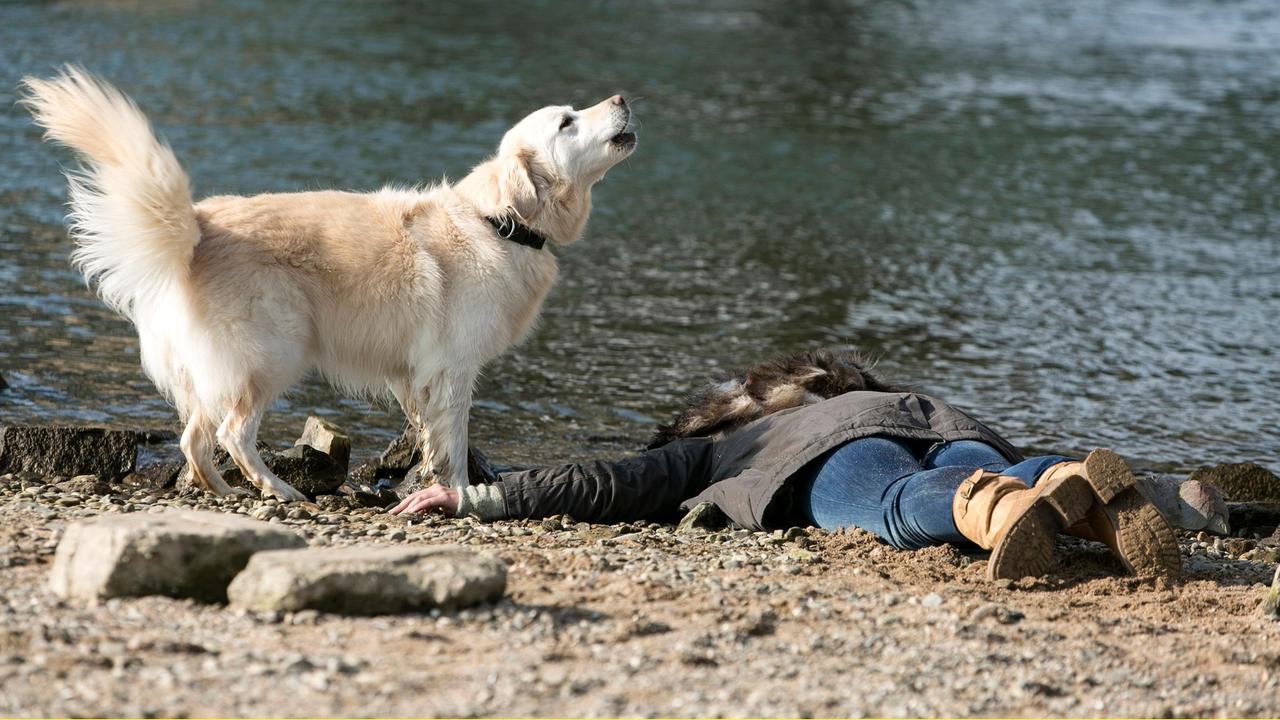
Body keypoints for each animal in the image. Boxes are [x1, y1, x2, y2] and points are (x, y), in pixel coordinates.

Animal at [20, 68, 634, 499]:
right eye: (567, 122)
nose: (623, 98)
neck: (501, 221)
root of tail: (195, 228)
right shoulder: (454, 368)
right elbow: (454, 443)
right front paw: (459, 494)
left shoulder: (416, 376)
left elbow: (428, 434)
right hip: (275, 353)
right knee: (233, 433)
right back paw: (278, 489)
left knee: (194, 439)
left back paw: (220, 491)